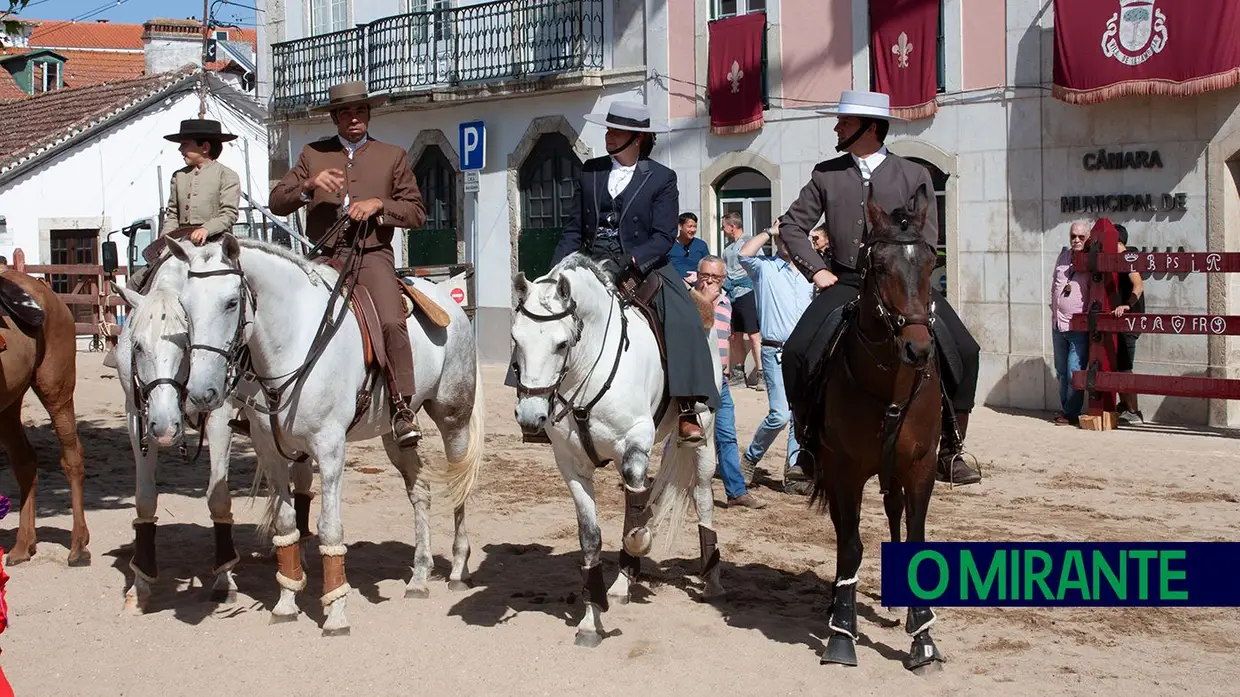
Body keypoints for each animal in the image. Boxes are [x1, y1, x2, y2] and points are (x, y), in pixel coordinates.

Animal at [0, 265, 90, 565]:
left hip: (56, 389)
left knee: (72, 458)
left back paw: (78, 546)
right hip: (8, 404)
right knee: (25, 462)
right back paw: (22, 546)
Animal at [112, 257, 314, 610]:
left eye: (186, 344)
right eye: (137, 346)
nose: (165, 426)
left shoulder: (220, 415)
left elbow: (218, 498)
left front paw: (224, 577)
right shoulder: (137, 415)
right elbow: (145, 500)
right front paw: (140, 584)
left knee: (301, 478)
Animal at [167, 234, 486, 634]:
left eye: (230, 302)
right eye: (184, 306)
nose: (200, 394)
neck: (295, 342)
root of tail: (451, 304)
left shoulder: (330, 449)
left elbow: (330, 529)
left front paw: (335, 612)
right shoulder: (270, 451)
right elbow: (286, 525)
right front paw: (286, 602)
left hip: (452, 418)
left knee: (459, 487)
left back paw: (458, 568)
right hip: (395, 436)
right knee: (420, 490)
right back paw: (419, 575)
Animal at [510, 254, 724, 644]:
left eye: (561, 344)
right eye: (516, 338)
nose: (531, 417)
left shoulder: (635, 441)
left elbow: (637, 523)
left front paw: (641, 543)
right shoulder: (572, 466)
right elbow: (592, 537)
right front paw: (590, 618)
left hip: (705, 433)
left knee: (701, 496)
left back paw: (711, 580)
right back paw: (623, 584)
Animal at [803, 184, 937, 669]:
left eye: (931, 262)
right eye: (878, 266)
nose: (918, 348)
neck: (888, 383)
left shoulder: (920, 466)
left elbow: (915, 539)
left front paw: (923, 638)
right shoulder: (845, 471)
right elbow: (851, 545)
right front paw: (842, 633)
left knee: (892, 510)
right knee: (845, 531)